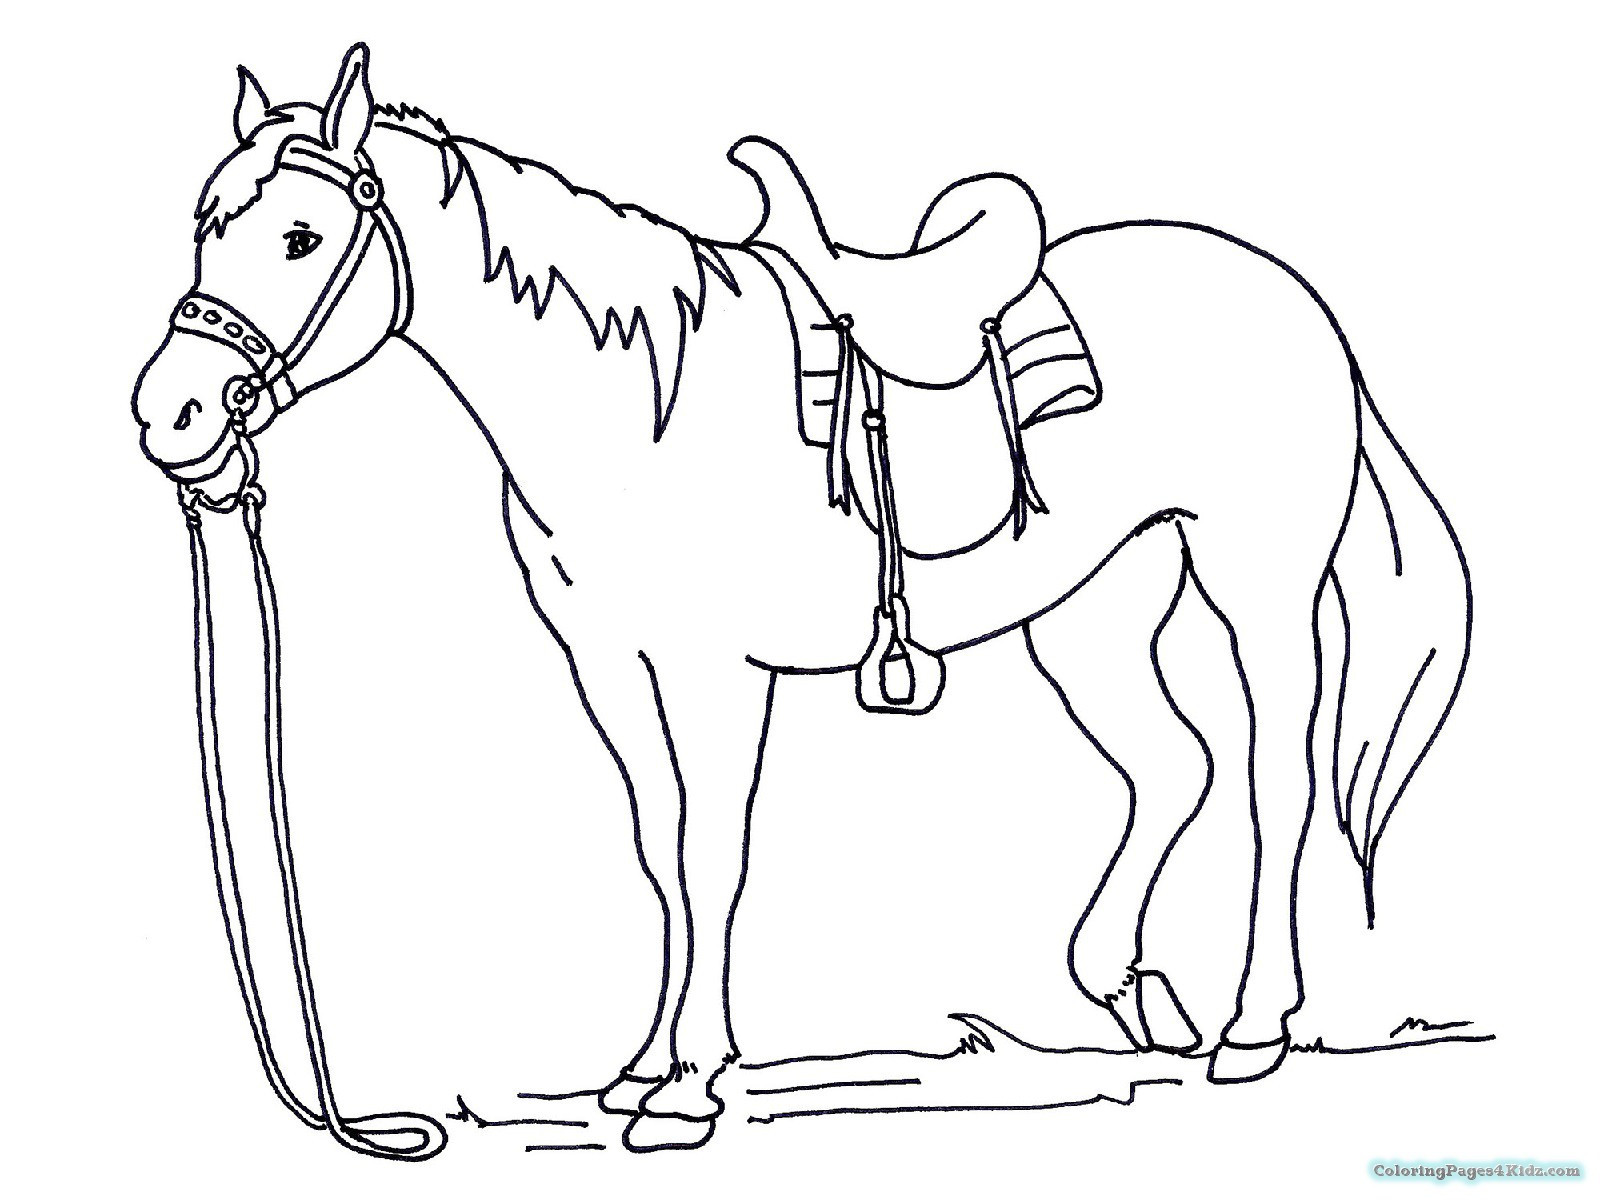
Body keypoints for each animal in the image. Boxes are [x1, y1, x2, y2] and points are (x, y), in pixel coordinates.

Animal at [130, 44, 1471, 1155]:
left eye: (303, 237)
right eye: (206, 224)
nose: (172, 413)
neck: (639, 404)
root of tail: (1291, 298)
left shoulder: (715, 677)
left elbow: (711, 852)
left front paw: (686, 1090)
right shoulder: (608, 668)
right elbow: (658, 853)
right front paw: (639, 1069)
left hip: (1258, 588)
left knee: (1272, 776)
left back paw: (1251, 1028)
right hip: (1088, 615)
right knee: (1173, 766)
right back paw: (1132, 993)